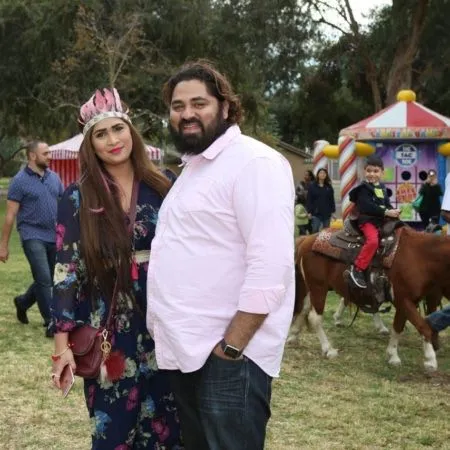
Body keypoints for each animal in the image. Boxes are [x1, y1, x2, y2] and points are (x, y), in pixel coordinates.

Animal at [288, 227, 450, 371]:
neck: (418, 256)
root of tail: (308, 239)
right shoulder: (404, 300)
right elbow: (423, 326)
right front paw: (430, 360)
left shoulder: (406, 301)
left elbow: (398, 327)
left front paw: (393, 355)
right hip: (318, 286)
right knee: (315, 317)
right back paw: (328, 349)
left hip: (312, 287)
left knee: (304, 309)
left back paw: (293, 336)